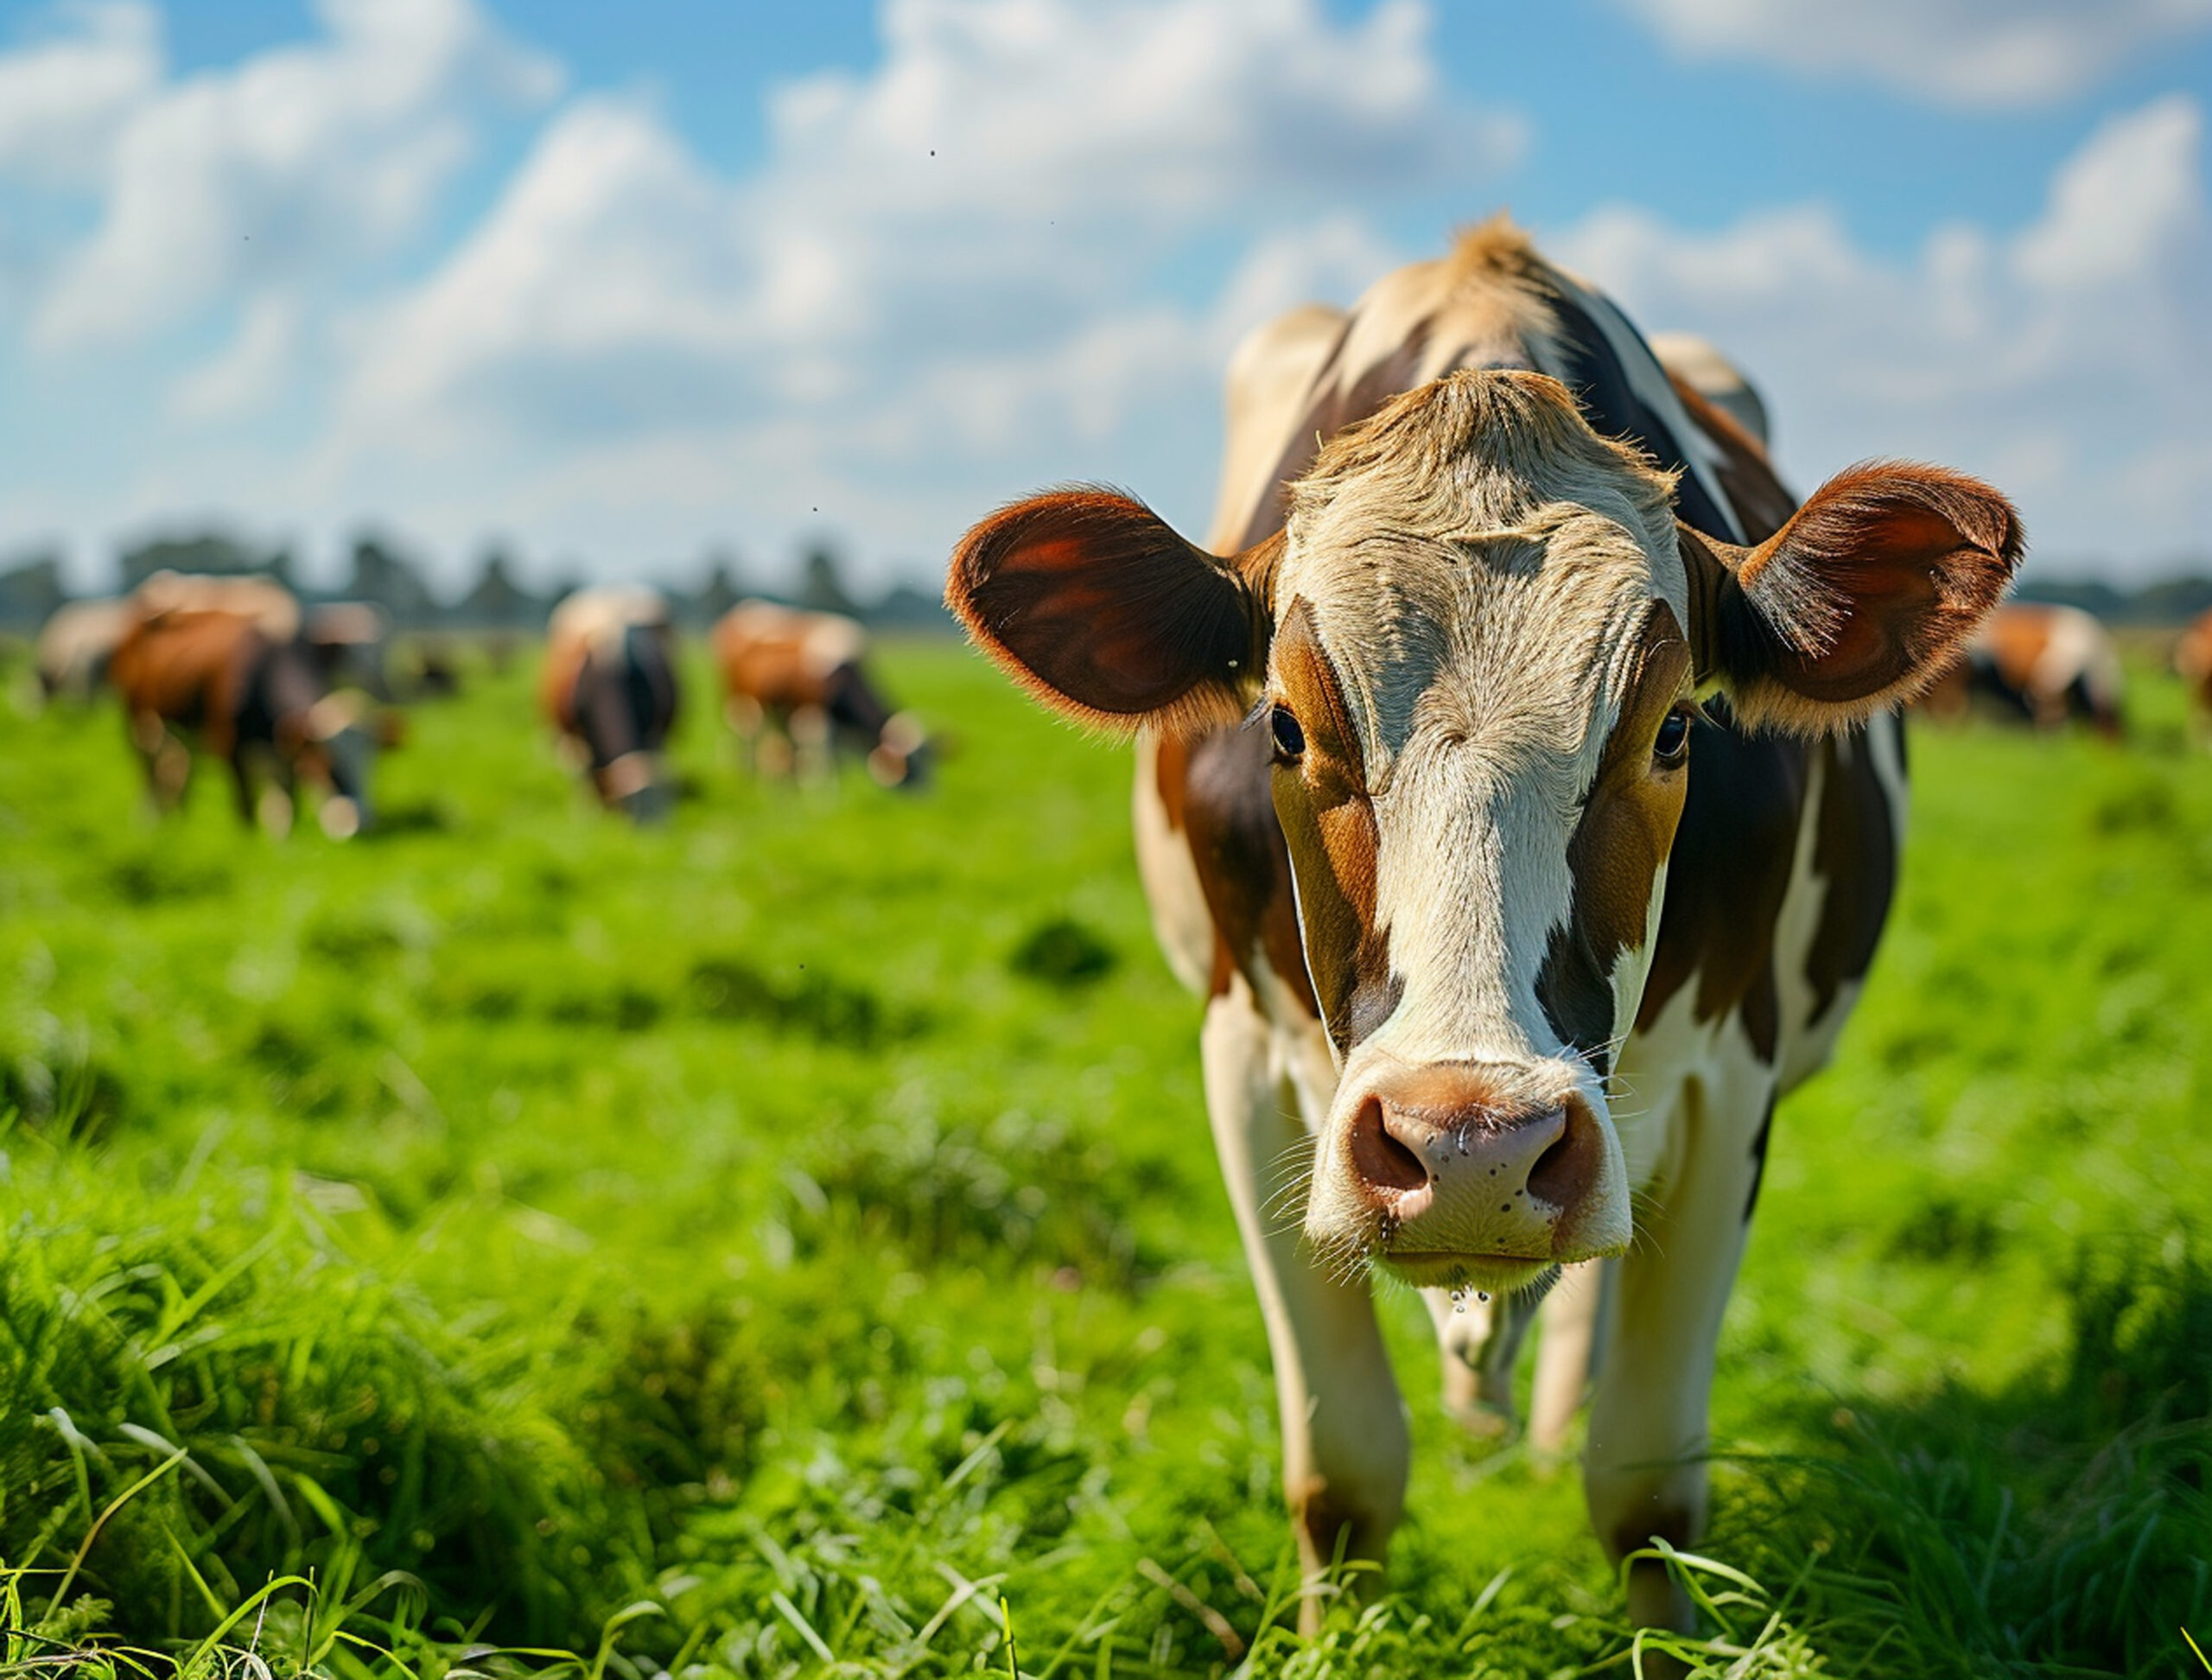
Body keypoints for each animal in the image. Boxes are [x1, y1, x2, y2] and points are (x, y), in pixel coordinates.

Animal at [108, 605, 389, 837]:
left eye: (371, 762)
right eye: (329, 763)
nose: (361, 821)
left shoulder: (285, 748)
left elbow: (288, 802)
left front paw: (283, 841)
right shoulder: (230, 746)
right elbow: (246, 807)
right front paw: (248, 846)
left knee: (178, 768)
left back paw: (180, 822)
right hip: (138, 722)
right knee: (148, 771)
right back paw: (151, 823)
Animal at [541, 585, 681, 821]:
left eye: (662, 808)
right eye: (630, 809)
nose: (654, 833)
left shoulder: (655, 733)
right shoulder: (579, 739)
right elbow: (586, 778)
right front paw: (590, 815)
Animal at [710, 600, 929, 788]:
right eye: (908, 761)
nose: (925, 790)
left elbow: (832, 758)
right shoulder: (818, 718)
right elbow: (825, 757)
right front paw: (825, 792)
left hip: (778, 708)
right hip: (742, 702)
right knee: (748, 737)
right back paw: (749, 776)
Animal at [945, 219, 2022, 1636]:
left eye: (1674, 727)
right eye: (1283, 724)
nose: (1469, 1148)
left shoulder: (1730, 1083)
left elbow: (1647, 1484)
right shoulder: (1243, 1061)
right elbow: (1344, 1471)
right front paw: (1333, 1644)